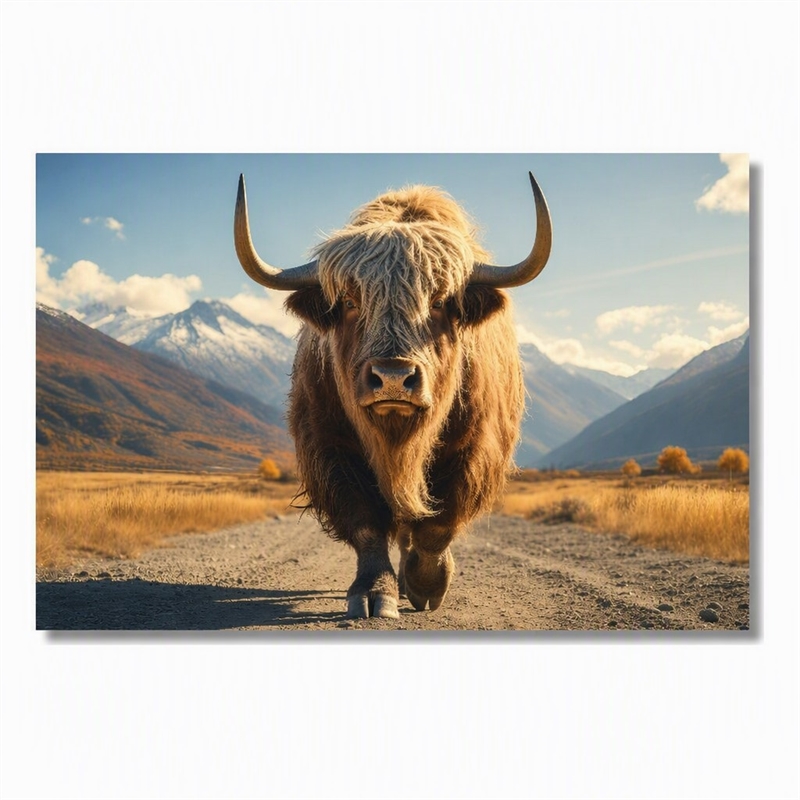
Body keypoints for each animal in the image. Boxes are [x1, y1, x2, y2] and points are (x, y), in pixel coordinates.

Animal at [234, 171, 552, 619]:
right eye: (350, 301)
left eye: (439, 301)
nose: (393, 378)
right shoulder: (331, 446)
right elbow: (367, 522)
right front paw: (374, 593)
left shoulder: (475, 449)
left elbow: (438, 522)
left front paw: (427, 584)